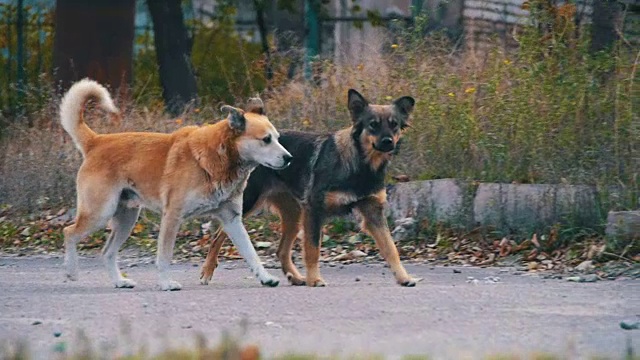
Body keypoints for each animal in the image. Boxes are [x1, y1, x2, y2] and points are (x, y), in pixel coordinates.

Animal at [59, 79, 290, 290]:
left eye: (278, 138)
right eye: (266, 139)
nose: (289, 158)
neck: (216, 158)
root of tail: (96, 141)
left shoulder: (232, 220)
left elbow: (251, 253)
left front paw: (265, 277)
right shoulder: (172, 216)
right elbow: (164, 256)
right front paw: (165, 283)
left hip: (126, 219)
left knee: (107, 252)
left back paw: (119, 281)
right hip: (99, 213)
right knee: (69, 232)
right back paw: (71, 271)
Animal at [201, 89, 420, 286]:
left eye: (394, 125)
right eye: (373, 125)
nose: (388, 142)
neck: (360, 164)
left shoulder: (374, 213)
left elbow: (391, 248)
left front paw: (404, 277)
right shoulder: (314, 211)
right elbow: (313, 249)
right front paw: (315, 279)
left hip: (294, 215)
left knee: (281, 250)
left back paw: (296, 277)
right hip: (248, 204)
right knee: (218, 235)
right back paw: (207, 270)